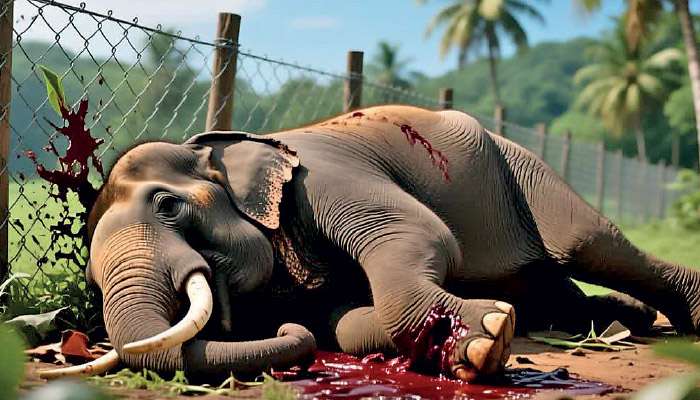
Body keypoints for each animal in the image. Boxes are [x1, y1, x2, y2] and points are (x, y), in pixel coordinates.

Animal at [40, 105, 700, 383]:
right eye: (92, 282)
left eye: (167, 205)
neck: (212, 146)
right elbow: (345, 322)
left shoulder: (325, 179)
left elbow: (420, 235)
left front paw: (485, 341)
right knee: (555, 289)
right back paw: (624, 321)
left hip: (523, 170)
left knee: (588, 244)